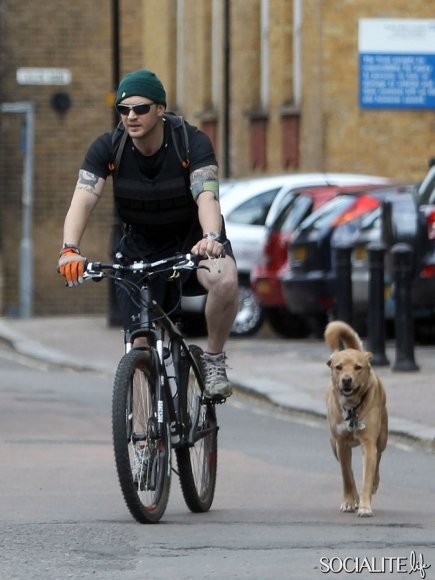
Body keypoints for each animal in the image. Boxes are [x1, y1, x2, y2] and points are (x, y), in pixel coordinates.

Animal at [326, 322, 390, 516]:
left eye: (358, 367)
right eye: (338, 367)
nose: (346, 380)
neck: (352, 408)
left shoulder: (369, 442)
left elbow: (367, 476)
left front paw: (364, 505)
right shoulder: (340, 443)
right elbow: (347, 475)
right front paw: (350, 501)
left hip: (382, 438)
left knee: (378, 460)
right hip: (333, 444)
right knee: (349, 471)